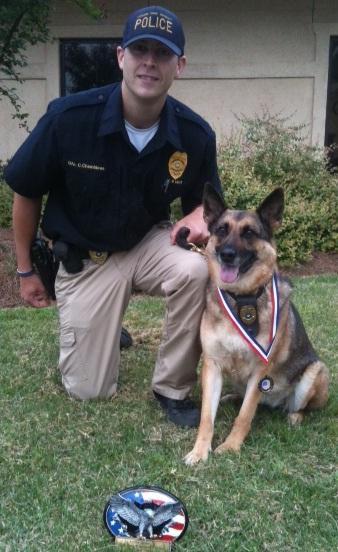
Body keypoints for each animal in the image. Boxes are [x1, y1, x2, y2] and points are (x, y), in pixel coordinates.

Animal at [184, 185, 328, 466]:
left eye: (249, 233)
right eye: (222, 230)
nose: (227, 255)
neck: (242, 299)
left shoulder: (261, 372)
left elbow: (245, 414)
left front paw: (230, 447)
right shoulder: (212, 365)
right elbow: (207, 417)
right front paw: (200, 451)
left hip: (317, 371)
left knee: (298, 407)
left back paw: (294, 415)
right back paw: (231, 397)